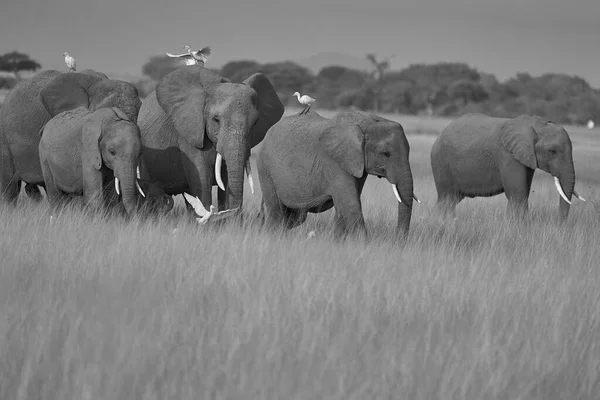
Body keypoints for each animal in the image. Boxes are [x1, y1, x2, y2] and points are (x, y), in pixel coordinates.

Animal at [256, 110, 418, 241]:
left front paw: (338, 244)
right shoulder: (334, 162)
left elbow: (342, 208)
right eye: (385, 153)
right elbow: (350, 204)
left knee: (294, 217)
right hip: (265, 168)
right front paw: (363, 246)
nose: (397, 242)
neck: (368, 120)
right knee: (276, 212)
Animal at [428, 112, 584, 220]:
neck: (534, 125)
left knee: (452, 199)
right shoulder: (508, 155)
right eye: (552, 151)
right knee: (447, 198)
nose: (560, 224)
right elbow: (518, 195)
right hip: (441, 161)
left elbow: (522, 194)